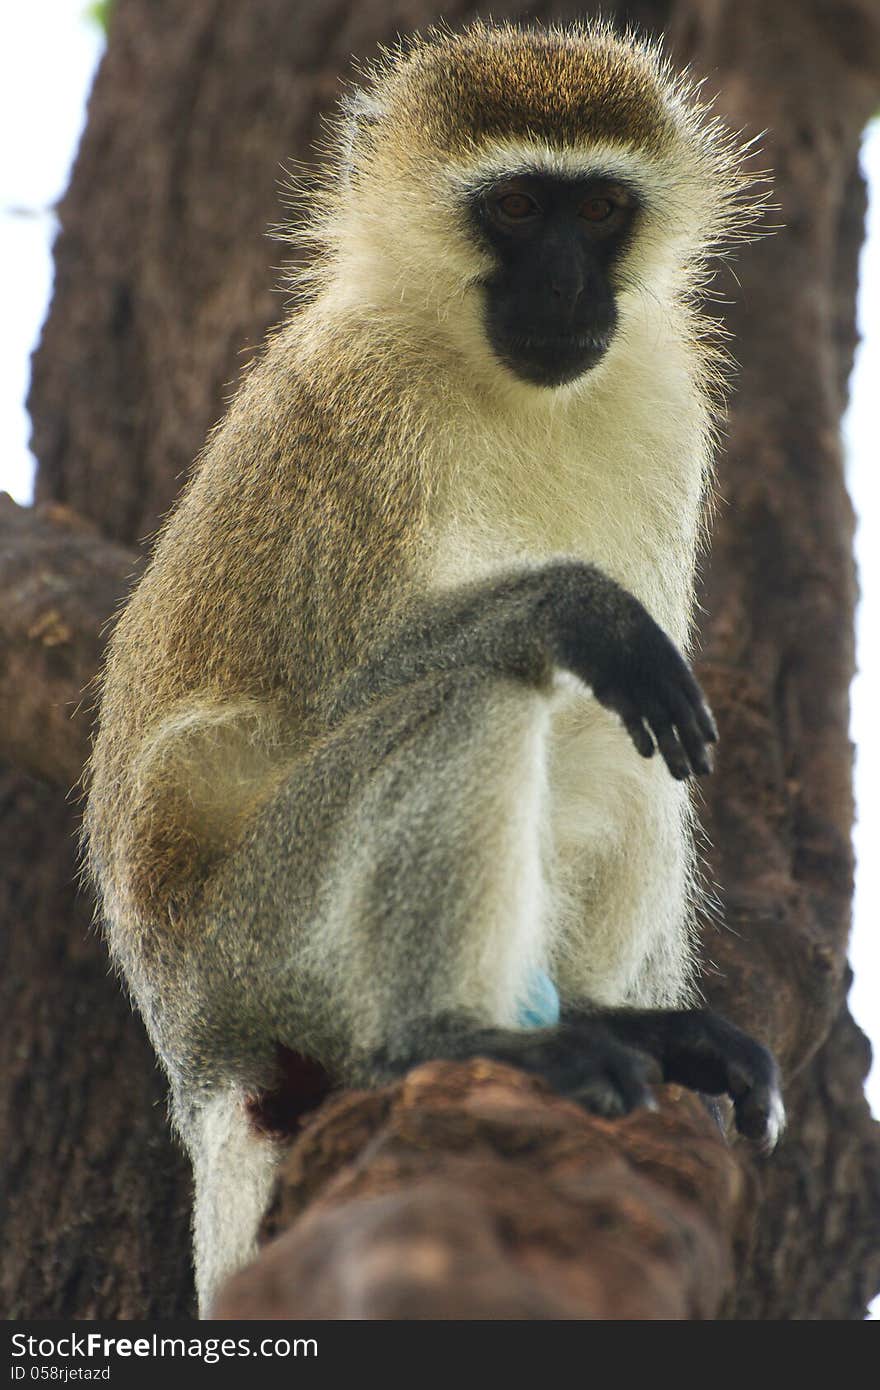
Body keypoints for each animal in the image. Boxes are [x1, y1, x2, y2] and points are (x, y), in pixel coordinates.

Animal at [84, 19, 784, 1312]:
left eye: (599, 208)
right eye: (512, 207)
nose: (564, 286)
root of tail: (196, 1052)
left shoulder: (666, 401)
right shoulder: (364, 406)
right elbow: (337, 693)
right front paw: (577, 605)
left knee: (624, 743)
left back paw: (624, 1027)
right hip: (265, 936)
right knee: (487, 687)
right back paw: (453, 1036)